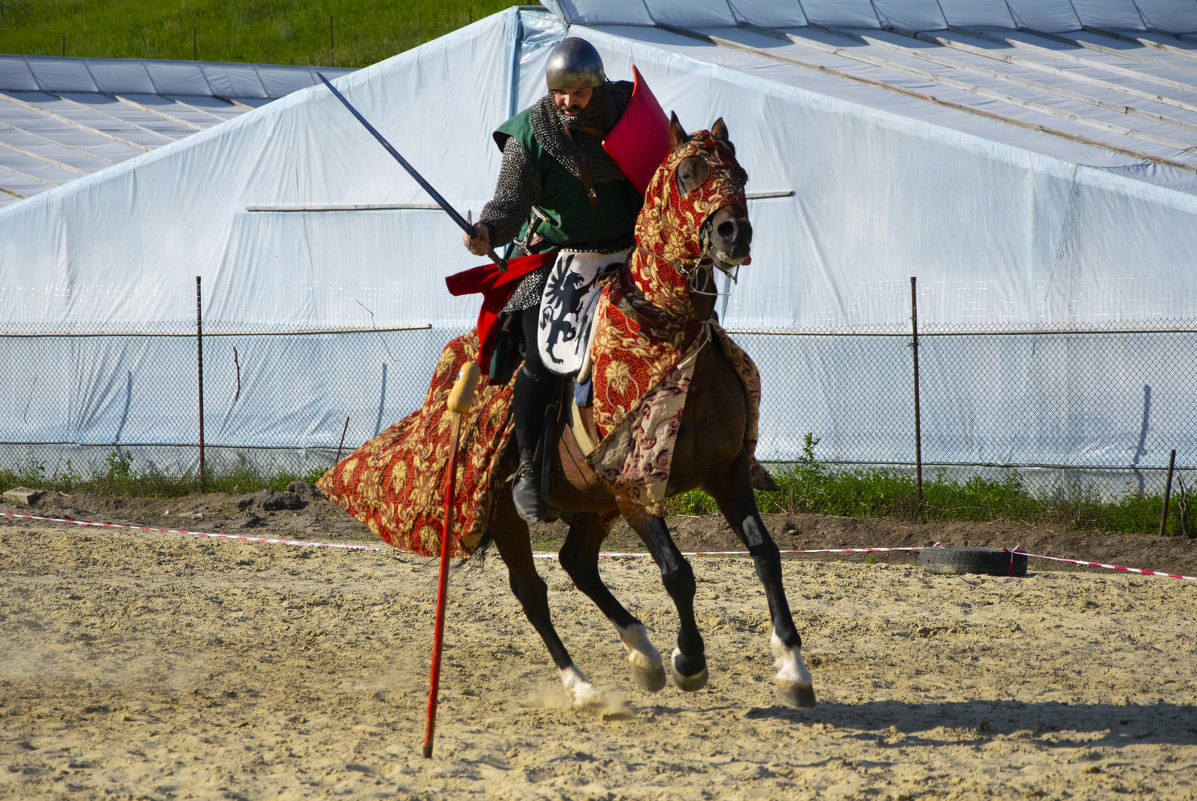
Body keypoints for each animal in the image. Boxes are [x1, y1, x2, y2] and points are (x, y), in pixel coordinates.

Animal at [481, 115, 818, 708]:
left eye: (741, 174)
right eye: (686, 174)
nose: (734, 233)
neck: (671, 343)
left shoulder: (727, 472)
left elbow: (766, 552)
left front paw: (792, 666)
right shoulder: (631, 490)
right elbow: (677, 572)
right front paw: (691, 662)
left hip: (591, 506)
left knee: (577, 564)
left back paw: (642, 653)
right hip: (507, 513)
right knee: (532, 590)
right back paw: (583, 686)